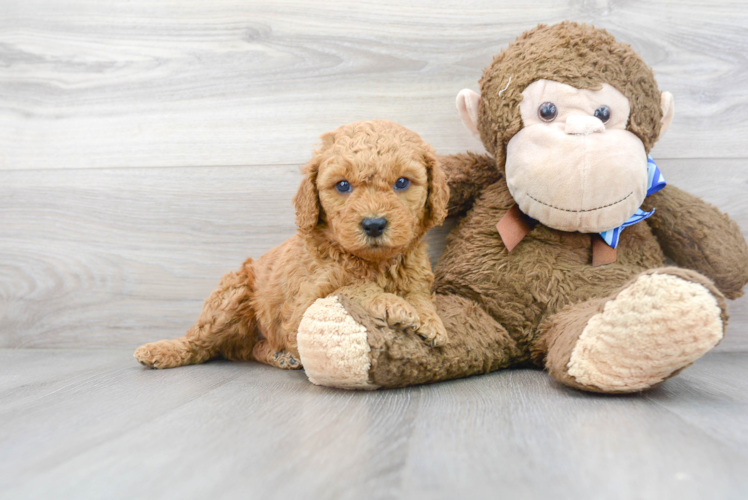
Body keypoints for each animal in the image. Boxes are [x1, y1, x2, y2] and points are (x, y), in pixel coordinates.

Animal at [134, 119, 448, 370]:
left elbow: (420, 297)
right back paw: (161, 350)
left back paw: (279, 356)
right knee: (201, 342)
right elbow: (352, 288)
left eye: (402, 182)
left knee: (246, 349)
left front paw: (431, 322)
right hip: (232, 295)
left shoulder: (417, 278)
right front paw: (393, 304)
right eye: (343, 185)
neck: (374, 262)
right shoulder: (304, 308)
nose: (373, 224)